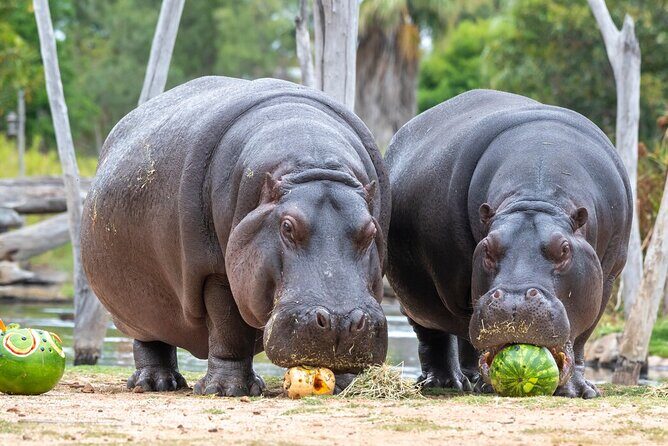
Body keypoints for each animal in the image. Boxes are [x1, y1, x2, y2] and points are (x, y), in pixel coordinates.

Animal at [81, 76, 391, 396]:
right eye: (287, 227)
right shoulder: (213, 271)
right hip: (139, 307)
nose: (341, 321)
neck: (313, 161)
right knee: (151, 341)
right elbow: (228, 329)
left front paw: (345, 385)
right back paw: (156, 383)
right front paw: (225, 389)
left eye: (371, 231)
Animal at [385, 90, 631, 398]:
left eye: (564, 249)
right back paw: (446, 383)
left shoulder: (605, 281)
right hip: (415, 301)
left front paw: (580, 391)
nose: (515, 301)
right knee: (434, 335)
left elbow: (580, 338)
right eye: (487, 247)